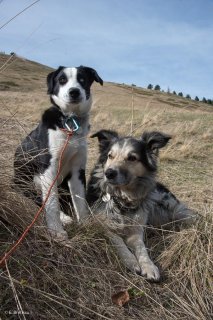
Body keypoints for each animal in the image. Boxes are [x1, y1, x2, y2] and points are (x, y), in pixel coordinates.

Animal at [13, 65, 103, 240]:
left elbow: (80, 202)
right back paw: (64, 218)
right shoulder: (49, 167)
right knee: (38, 199)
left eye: (82, 79)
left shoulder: (77, 170)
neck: (70, 122)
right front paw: (56, 230)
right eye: (62, 80)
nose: (74, 92)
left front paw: (86, 225)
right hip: (25, 182)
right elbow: (51, 202)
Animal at [86, 129, 195, 280]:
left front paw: (149, 266)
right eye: (110, 156)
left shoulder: (136, 230)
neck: (122, 200)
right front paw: (130, 261)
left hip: (167, 204)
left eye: (132, 158)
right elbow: (118, 240)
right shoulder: (102, 224)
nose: (109, 173)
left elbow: (141, 248)